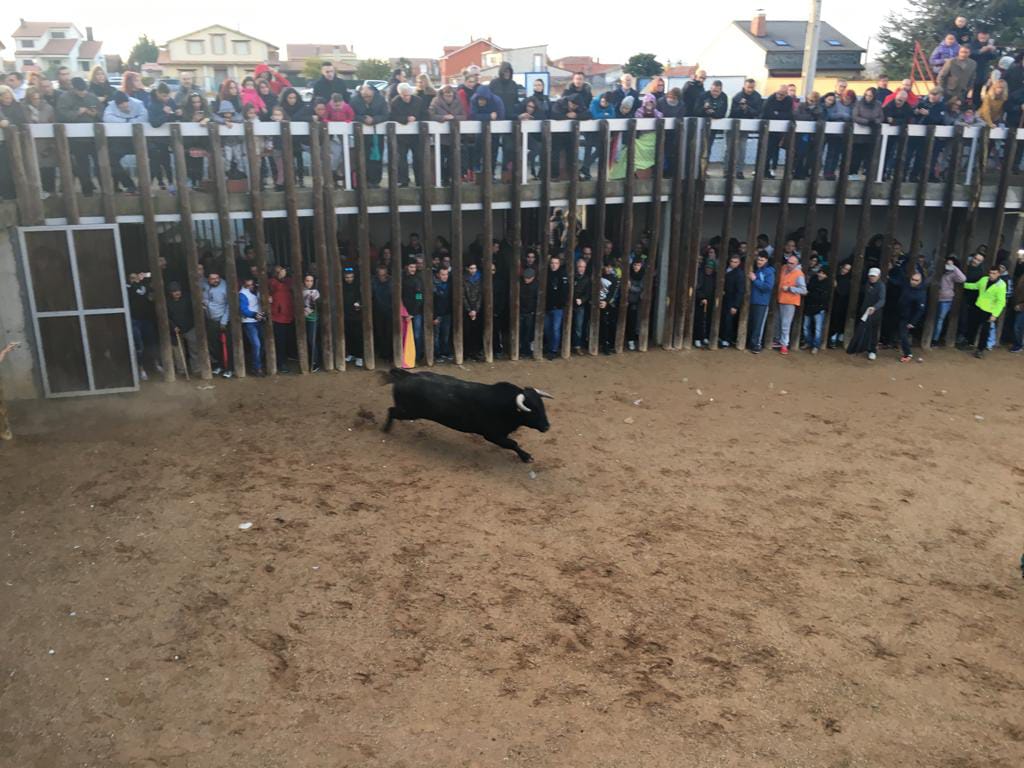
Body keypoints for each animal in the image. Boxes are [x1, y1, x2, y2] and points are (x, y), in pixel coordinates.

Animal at [385, 370, 552, 462]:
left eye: (542, 406)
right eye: (532, 410)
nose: (546, 427)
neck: (508, 405)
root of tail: (405, 376)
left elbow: (513, 443)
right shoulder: (492, 435)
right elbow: (513, 444)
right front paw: (527, 457)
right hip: (409, 412)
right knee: (391, 410)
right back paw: (386, 429)